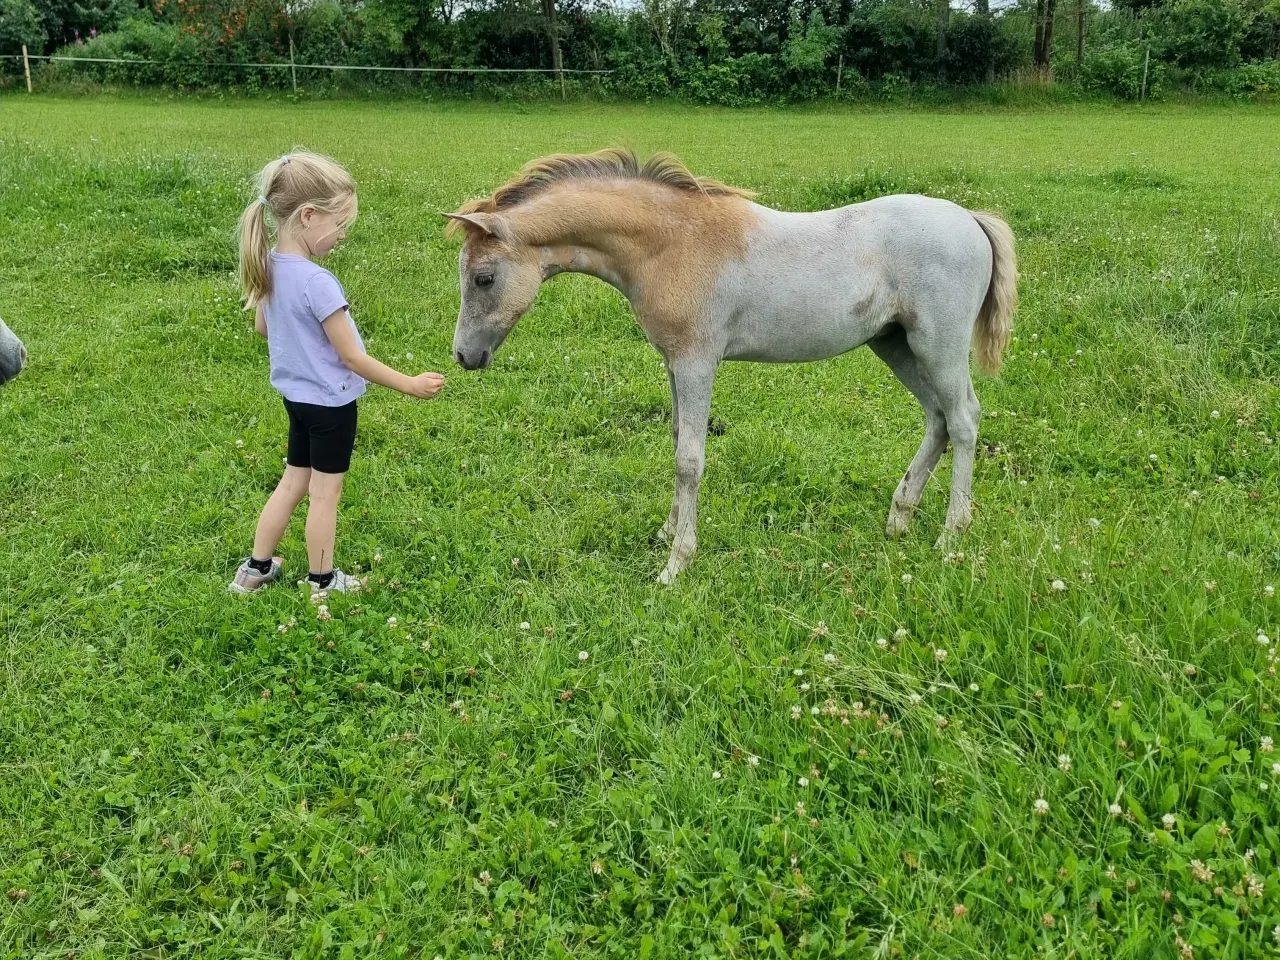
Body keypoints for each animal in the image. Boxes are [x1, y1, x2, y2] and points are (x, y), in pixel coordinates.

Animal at [450, 151, 1018, 586]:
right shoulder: (674, 362)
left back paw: (950, 534)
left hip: (938, 344)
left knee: (963, 419)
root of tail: (970, 219)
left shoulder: (697, 362)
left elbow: (690, 459)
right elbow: (676, 439)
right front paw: (667, 531)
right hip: (896, 345)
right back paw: (899, 518)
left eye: (483, 278)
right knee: (938, 419)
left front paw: (675, 563)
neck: (671, 243)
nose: (463, 356)